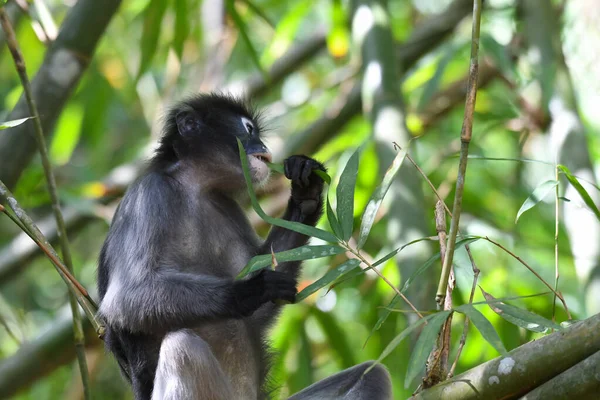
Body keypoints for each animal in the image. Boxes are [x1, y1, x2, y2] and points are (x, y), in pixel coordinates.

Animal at [96, 94, 392, 400]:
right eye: (248, 130)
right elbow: (124, 300)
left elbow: (257, 313)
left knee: (373, 374)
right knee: (183, 348)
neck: (194, 188)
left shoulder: (227, 205)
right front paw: (251, 290)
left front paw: (306, 193)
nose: (263, 147)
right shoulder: (148, 194)